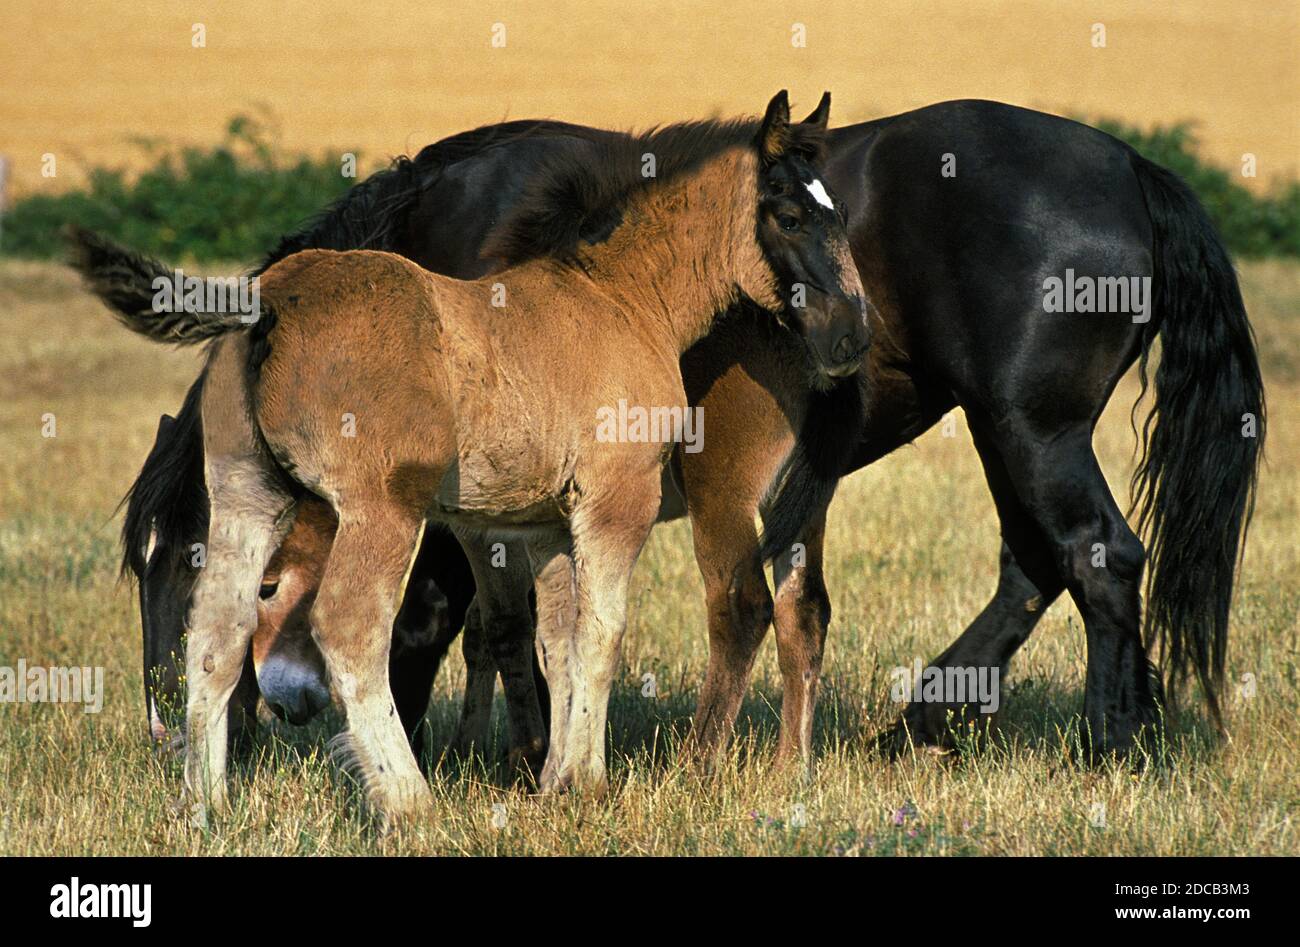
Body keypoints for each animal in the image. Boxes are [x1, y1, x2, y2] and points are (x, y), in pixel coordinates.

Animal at [114, 98, 1258, 759]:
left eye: (187, 555)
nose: (168, 718)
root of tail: (1128, 167)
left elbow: (459, 617)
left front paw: (498, 750)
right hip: (1005, 429)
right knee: (1035, 559)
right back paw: (925, 718)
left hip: (1030, 426)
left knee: (1097, 556)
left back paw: (1113, 741)